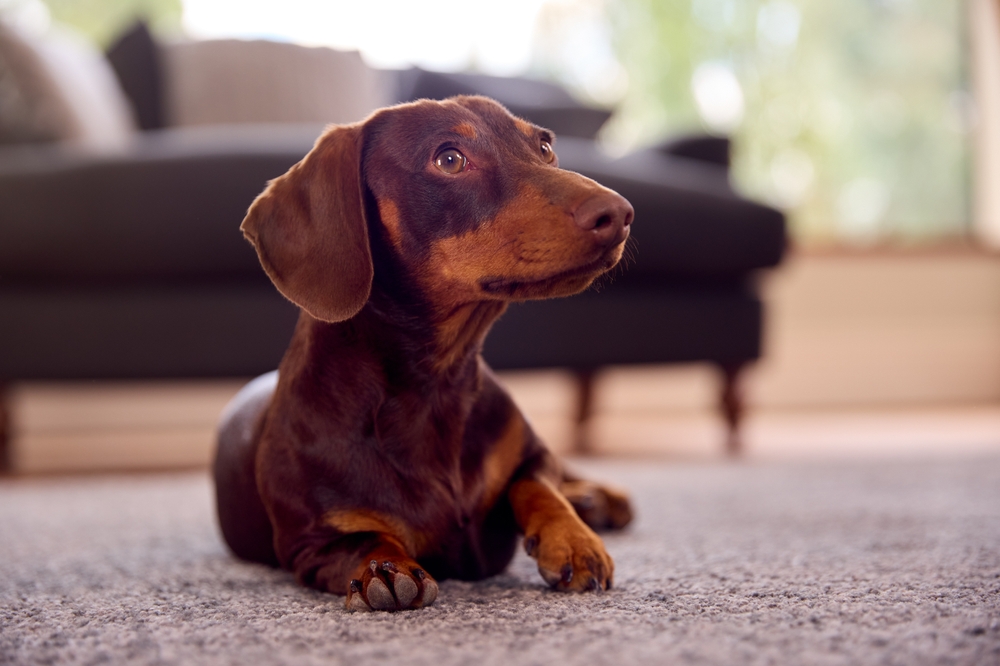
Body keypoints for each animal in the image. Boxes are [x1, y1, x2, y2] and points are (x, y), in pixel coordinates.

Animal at [213, 94, 632, 612]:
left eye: (545, 147)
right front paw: (384, 568)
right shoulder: (309, 543)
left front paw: (574, 540)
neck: (435, 385)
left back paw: (598, 498)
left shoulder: (533, 454)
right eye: (449, 159)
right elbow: (363, 540)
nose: (620, 213)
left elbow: (538, 484)